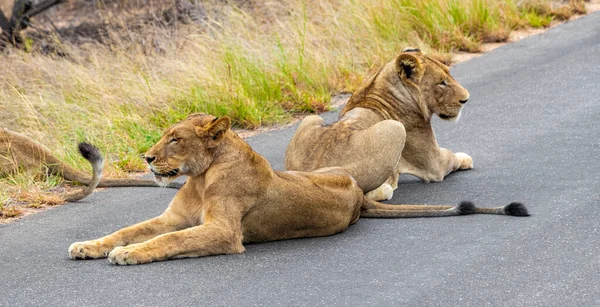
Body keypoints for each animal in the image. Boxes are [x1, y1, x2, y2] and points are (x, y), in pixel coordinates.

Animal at [67, 114, 528, 266]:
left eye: (175, 139)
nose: (146, 158)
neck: (201, 175)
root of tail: (359, 197)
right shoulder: (173, 216)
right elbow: (129, 230)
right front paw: (89, 245)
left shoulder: (224, 233)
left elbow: (170, 241)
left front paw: (127, 254)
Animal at [284, 47, 474, 201]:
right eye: (441, 82)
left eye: (449, 74)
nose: (466, 99)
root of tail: (311, 176)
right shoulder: (433, 164)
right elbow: (451, 157)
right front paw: (466, 159)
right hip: (395, 129)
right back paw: (386, 189)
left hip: (311, 119)